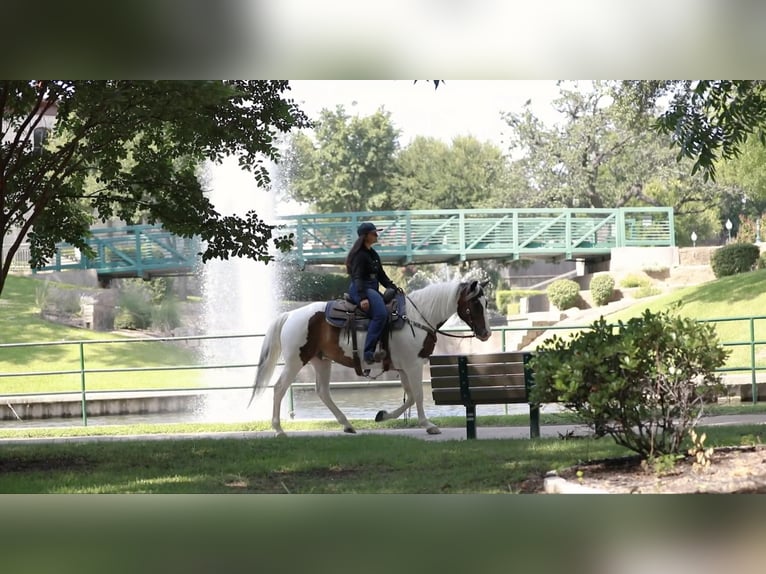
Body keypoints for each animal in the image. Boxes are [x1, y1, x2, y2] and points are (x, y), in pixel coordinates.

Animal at [247, 279, 492, 436]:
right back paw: (279, 429)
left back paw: (347, 424)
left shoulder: (403, 368)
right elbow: (419, 396)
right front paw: (428, 425)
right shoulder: (413, 366)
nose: (486, 333)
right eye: (474, 304)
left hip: (321, 361)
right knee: (279, 388)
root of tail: (290, 314)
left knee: (323, 392)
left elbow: (411, 397)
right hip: (296, 361)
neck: (415, 318)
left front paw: (383, 415)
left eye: (487, 303)